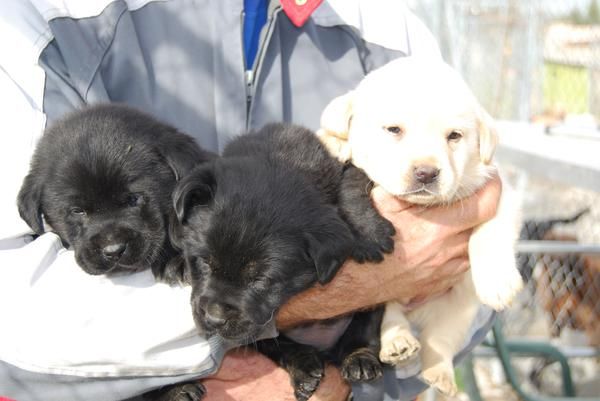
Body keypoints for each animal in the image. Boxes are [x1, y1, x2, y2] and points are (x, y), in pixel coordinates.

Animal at [172, 122, 394, 400]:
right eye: (203, 262)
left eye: (261, 279)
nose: (214, 320)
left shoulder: (340, 168)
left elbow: (352, 183)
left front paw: (369, 233)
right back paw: (304, 368)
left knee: (365, 325)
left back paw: (359, 358)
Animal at [316, 57, 524, 396]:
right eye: (394, 130)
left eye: (454, 136)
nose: (426, 173)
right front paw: (333, 139)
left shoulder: (499, 192)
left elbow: (491, 232)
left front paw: (498, 283)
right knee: (392, 316)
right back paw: (398, 342)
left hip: (460, 305)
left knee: (440, 338)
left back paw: (439, 372)